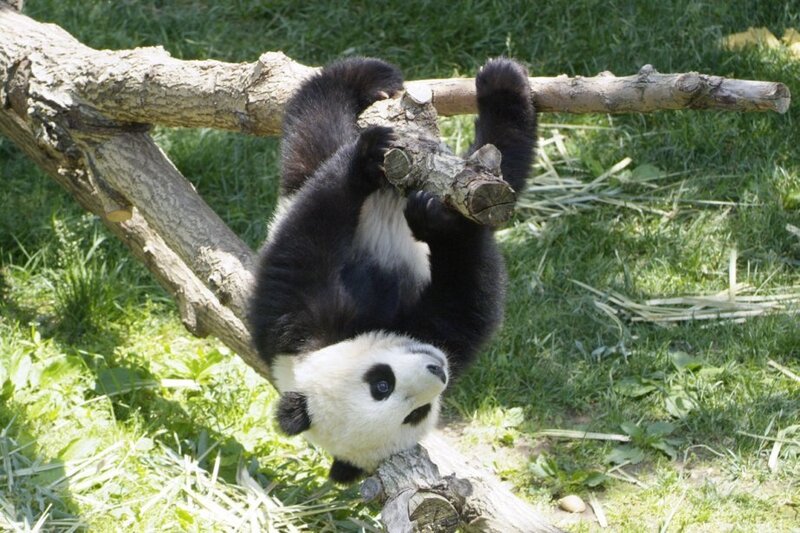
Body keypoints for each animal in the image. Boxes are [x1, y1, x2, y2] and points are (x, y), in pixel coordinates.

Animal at [249, 57, 537, 483]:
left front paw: (372, 162)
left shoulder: (290, 319)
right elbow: (466, 302)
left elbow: (305, 244)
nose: (437, 370)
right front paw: (436, 222)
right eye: (413, 412)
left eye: (379, 381)